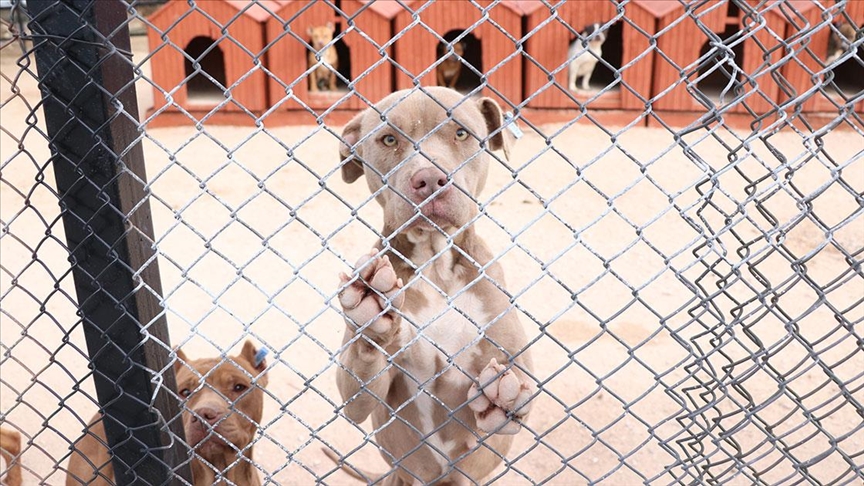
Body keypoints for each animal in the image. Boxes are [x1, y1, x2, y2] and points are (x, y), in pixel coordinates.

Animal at [330, 85, 532, 484]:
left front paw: (503, 399)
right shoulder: (361, 395)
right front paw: (372, 311)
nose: (429, 179)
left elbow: (519, 397)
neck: (436, 267)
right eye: (389, 139)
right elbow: (359, 378)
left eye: (461, 133)